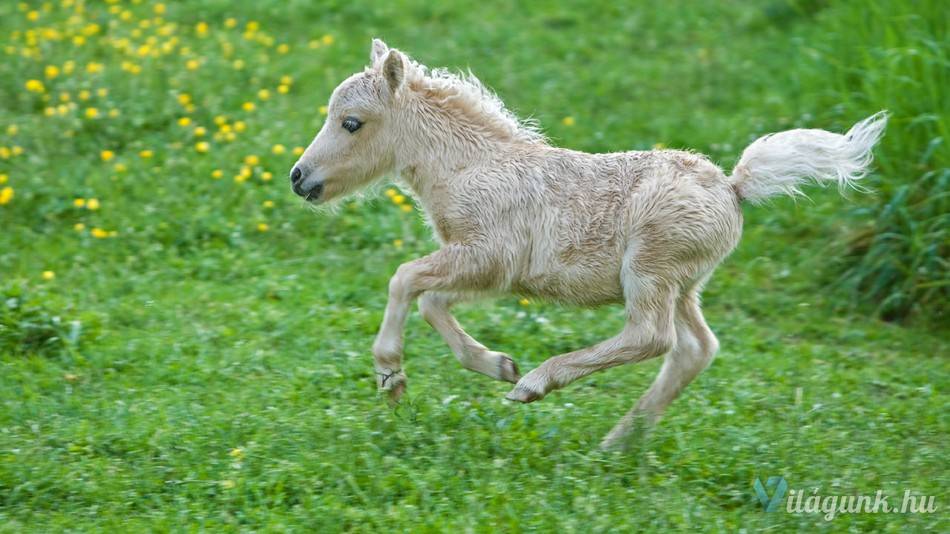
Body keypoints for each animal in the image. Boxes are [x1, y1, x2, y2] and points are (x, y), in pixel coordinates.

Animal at [288, 39, 884, 448]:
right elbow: (432, 300)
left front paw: (392, 376)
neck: (470, 166)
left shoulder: (488, 255)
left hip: (649, 269)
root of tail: (735, 189)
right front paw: (495, 363)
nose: (299, 178)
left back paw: (538, 384)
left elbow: (404, 279)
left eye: (351, 122)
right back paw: (618, 442)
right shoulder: (488, 270)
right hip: (683, 284)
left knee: (651, 336)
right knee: (695, 348)